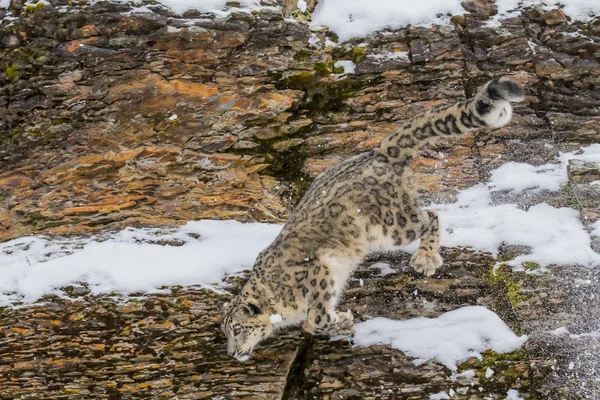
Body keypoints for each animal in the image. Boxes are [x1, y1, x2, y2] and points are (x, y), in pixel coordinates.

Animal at [221, 76, 524, 360]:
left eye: (237, 329)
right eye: (226, 332)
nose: (232, 353)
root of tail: (379, 152)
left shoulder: (319, 269)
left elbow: (315, 319)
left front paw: (342, 320)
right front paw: (341, 323)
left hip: (393, 226)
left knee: (431, 216)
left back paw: (425, 259)